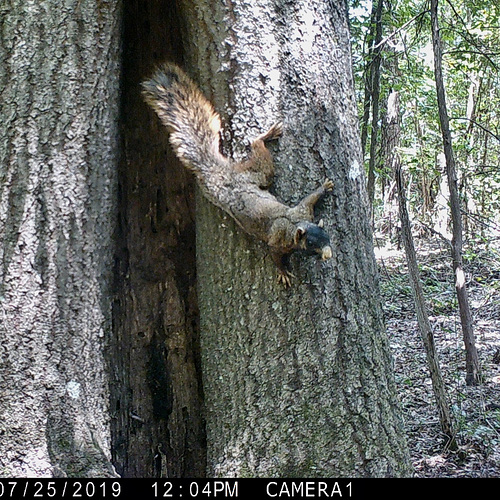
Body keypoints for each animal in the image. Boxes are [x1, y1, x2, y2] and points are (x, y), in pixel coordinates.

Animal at [143, 64, 334, 288]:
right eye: (310, 243)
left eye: (327, 236)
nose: (328, 255)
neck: (295, 225)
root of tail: (219, 173)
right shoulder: (279, 241)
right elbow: (275, 255)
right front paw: (283, 272)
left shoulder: (303, 212)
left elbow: (308, 199)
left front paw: (324, 187)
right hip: (248, 178)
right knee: (258, 153)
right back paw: (265, 136)